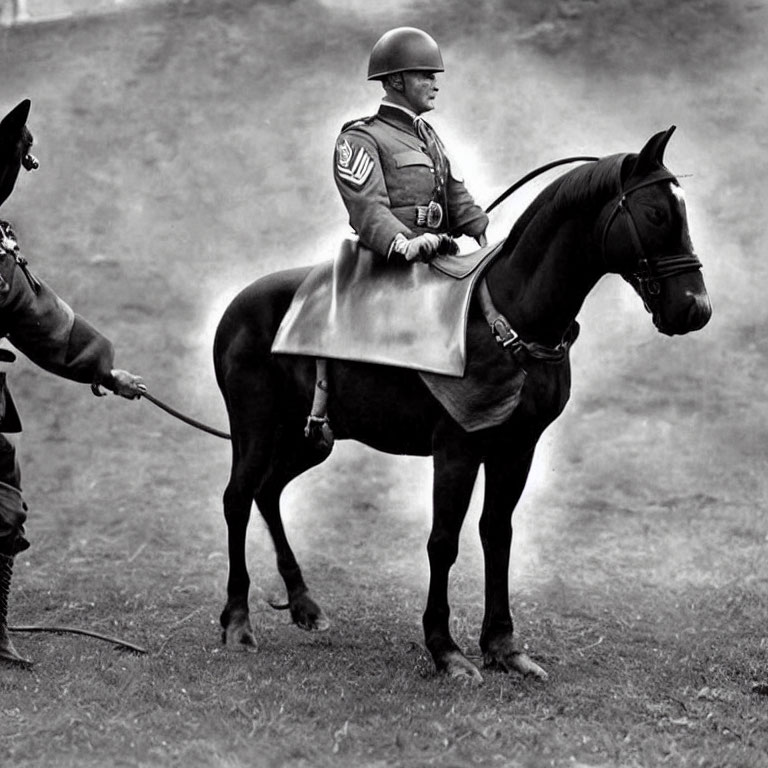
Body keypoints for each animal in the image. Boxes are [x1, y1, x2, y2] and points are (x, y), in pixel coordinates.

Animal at [213, 129, 712, 680]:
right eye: (656, 214)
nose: (695, 308)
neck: (510, 314)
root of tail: (237, 305)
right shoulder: (457, 449)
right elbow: (443, 540)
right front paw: (444, 647)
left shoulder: (517, 448)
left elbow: (497, 533)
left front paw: (503, 644)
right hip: (255, 427)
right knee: (238, 498)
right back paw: (238, 620)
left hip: (312, 437)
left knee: (268, 491)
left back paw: (303, 603)